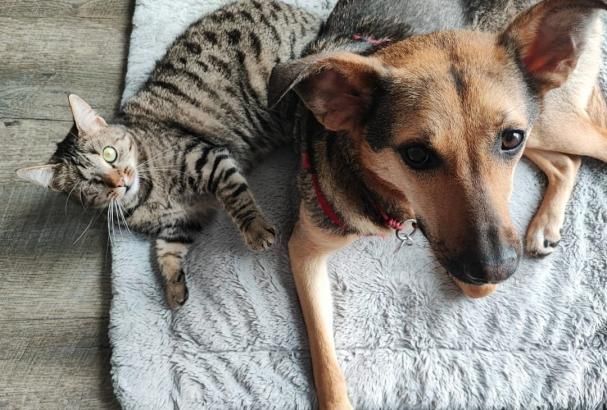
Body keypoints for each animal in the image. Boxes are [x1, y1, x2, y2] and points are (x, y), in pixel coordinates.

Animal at [17, 0, 321, 309]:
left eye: (110, 154)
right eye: (91, 184)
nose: (120, 181)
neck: (147, 199)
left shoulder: (209, 159)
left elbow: (238, 199)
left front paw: (256, 230)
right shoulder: (183, 221)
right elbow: (165, 252)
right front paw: (174, 289)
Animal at [269, 0, 607, 408]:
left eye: (510, 139)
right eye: (416, 155)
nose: (496, 268)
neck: (378, 189)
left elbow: (474, 281)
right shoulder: (305, 248)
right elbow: (324, 355)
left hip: (547, 123)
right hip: (541, 126)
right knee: (565, 163)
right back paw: (545, 225)